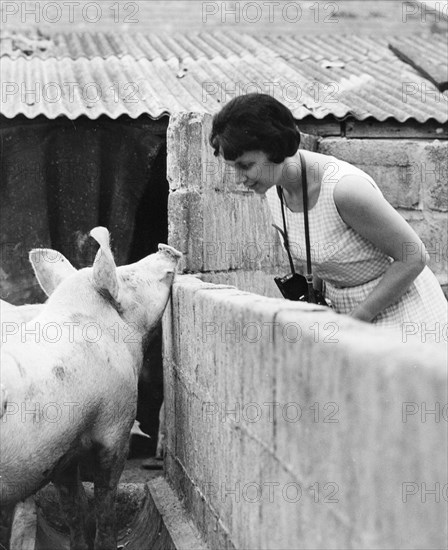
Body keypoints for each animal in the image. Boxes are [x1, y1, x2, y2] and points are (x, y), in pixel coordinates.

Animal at [0, 226, 182, 548]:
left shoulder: (59, 452)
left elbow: (75, 508)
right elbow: (103, 503)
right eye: (127, 277)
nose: (165, 246)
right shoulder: (115, 425)